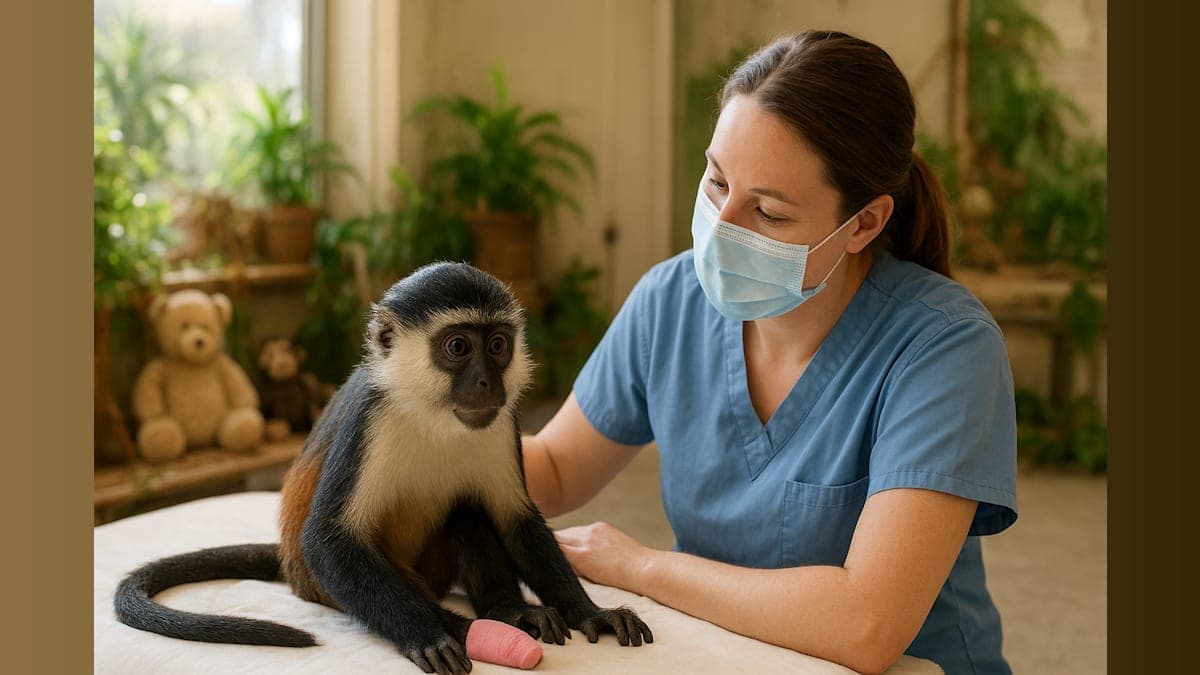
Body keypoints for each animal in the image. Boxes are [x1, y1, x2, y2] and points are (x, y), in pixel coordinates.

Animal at [114, 262, 653, 675]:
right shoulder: (370, 418)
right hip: (330, 585)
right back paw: (469, 624)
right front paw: (431, 634)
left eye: (498, 345)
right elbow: (328, 539)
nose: (487, 382)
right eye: (459, 347)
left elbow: (515, 519)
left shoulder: (505, 421)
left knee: (469, 509)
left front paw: (590, 612)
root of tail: (288, 565)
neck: (435, 415)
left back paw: (509, 610)